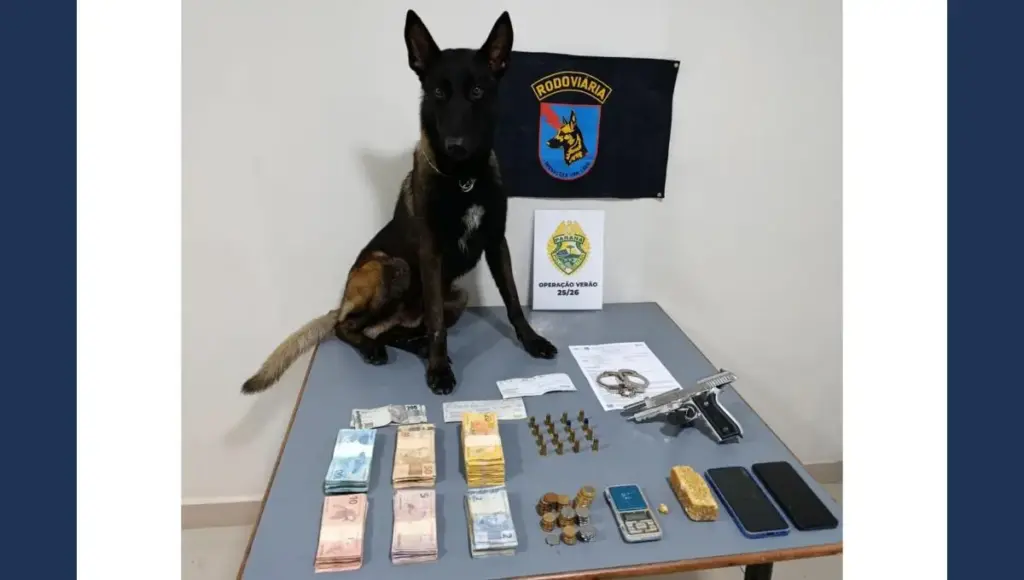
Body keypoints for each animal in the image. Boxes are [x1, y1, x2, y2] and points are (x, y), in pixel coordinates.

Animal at [241, 10, 557, 396]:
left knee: (389, 330)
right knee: (349, 326)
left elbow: (512, 300)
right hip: (394, 269)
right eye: (438, 92)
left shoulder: (497, 243)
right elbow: (436, 322)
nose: (455, 146)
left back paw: (411, 344)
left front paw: (531, 340)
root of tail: (342, 303)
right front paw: (438, 370)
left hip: (458, 296)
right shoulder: (431, 255)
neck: (464, 179)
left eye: (477, 91)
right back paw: (376, 348)